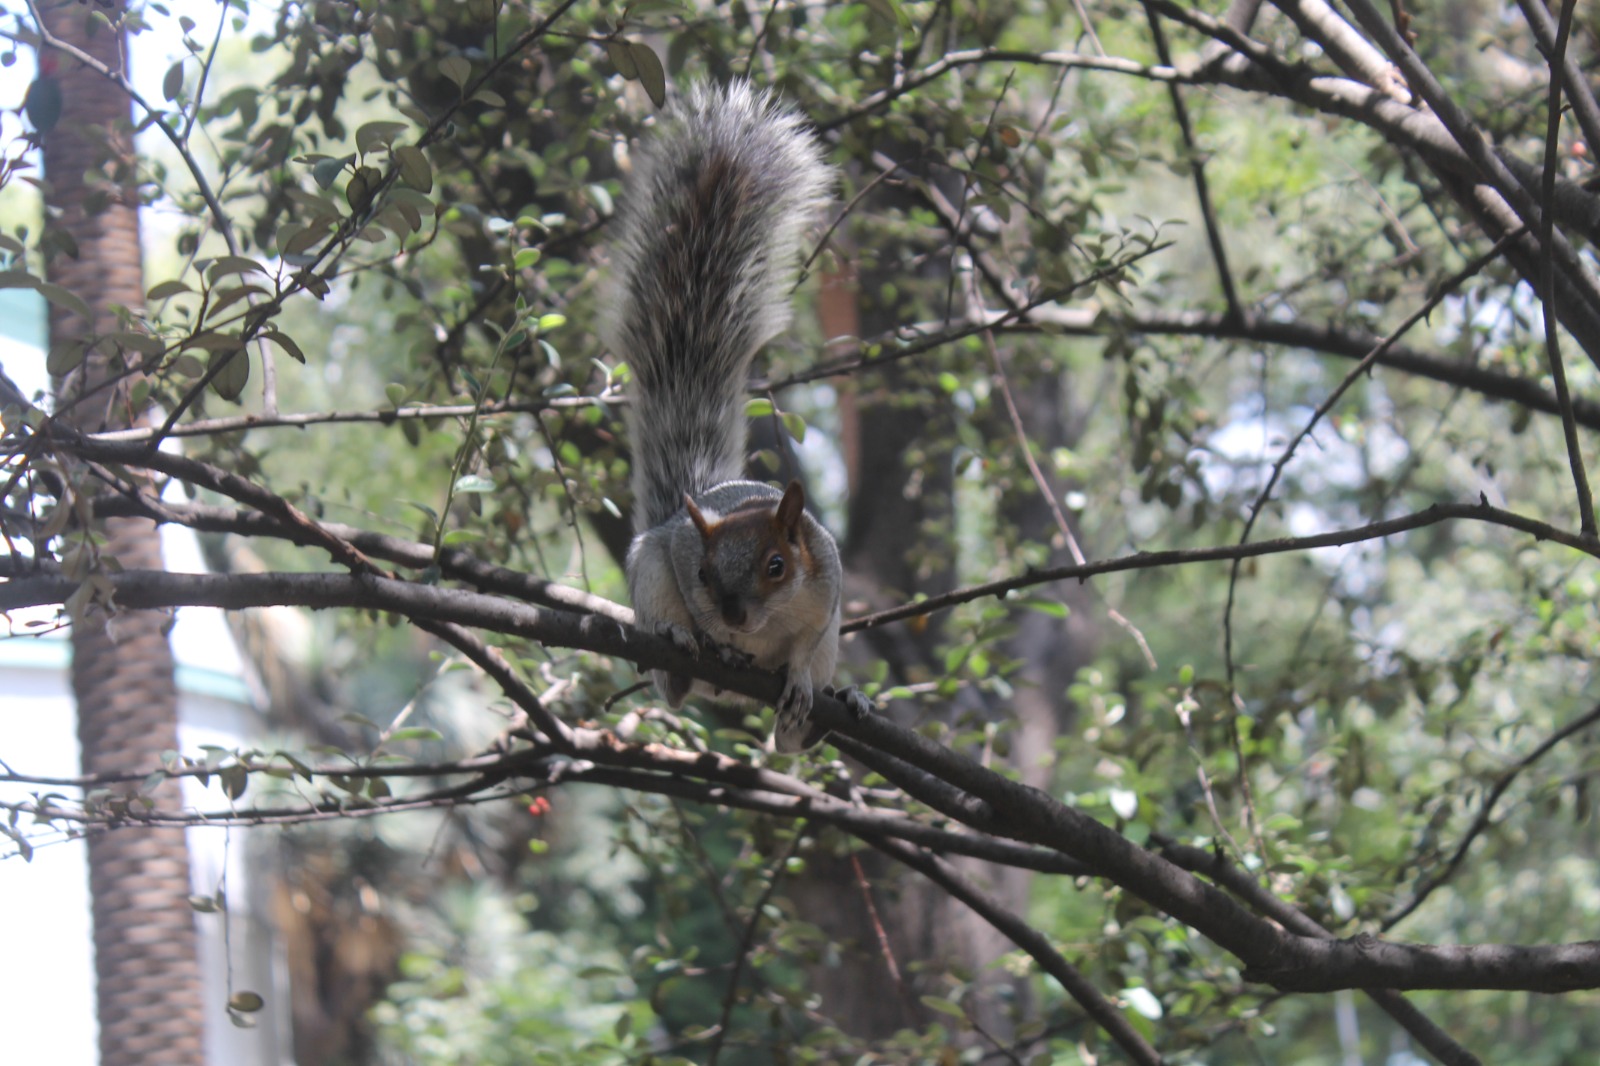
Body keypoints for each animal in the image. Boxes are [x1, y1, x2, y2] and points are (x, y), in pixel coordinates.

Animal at [601, 80, 876, 745]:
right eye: (702, 574)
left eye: (777, 566)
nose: (733, 616)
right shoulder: (677, 560)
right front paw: (711, 638)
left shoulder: (825, 599)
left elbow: (803, 652)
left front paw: (800, 681)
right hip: (650, 576)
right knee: (674, 689)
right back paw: (681, 651)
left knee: (792, 738)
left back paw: (838, 705)